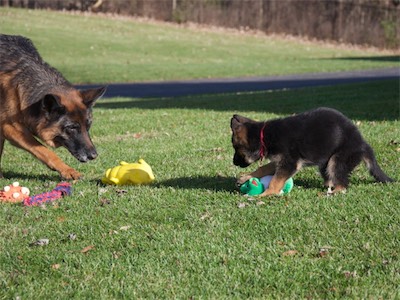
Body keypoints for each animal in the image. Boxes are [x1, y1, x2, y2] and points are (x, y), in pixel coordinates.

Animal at [0, 34, 106, 180]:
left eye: (88, 126)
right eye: (72, 128)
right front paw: (68, 170)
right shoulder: (10, 128)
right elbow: (44, 150)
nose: (93, 155)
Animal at [231, 106, 394, 196]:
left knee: (343, 185)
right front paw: (246, 177)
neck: (264, 135)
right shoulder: (280, 161)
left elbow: (275, 181)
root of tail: (363, 144)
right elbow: (263, 168)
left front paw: (266, 194)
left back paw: (330, 193)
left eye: (236, 148)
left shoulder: (289, 163)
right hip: (325, 163)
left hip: (337, 159)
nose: (233, 163)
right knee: (331, 179)